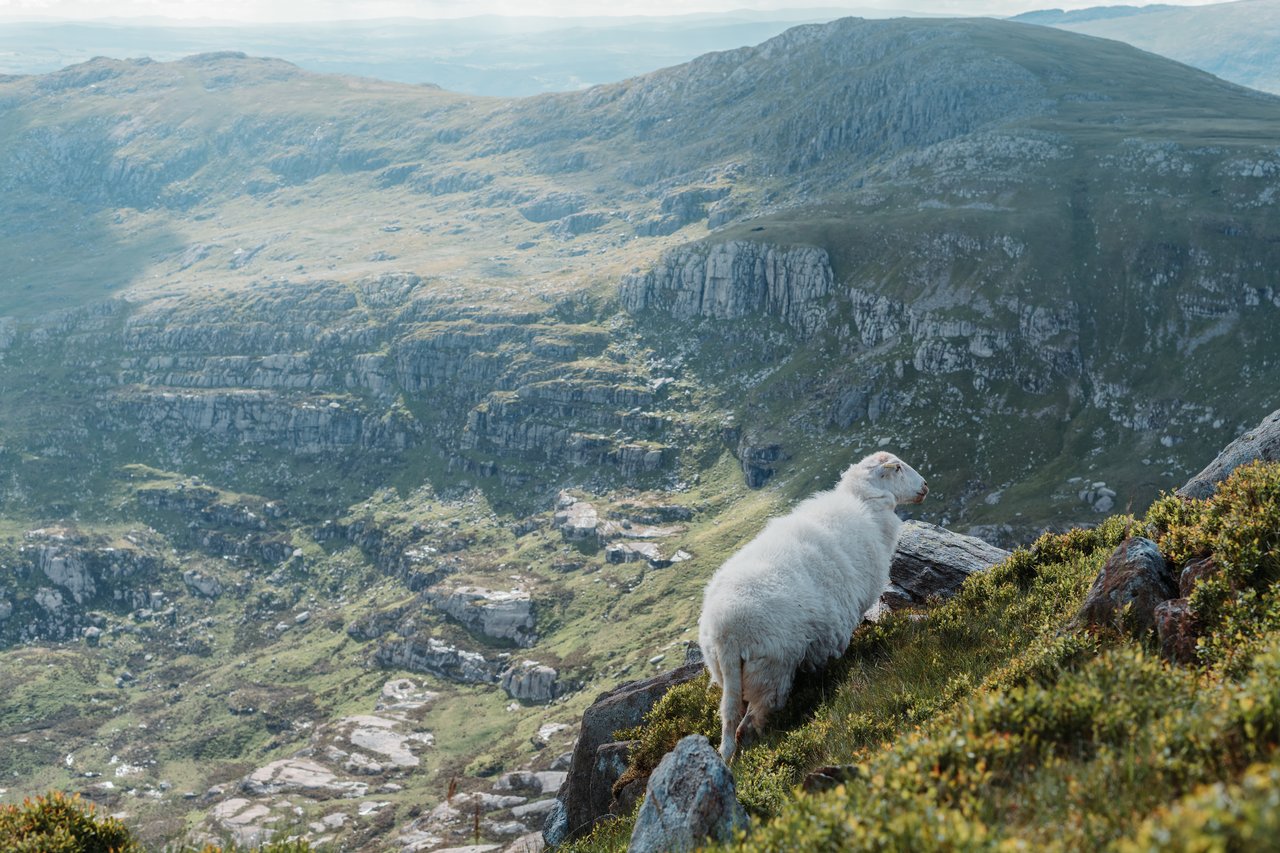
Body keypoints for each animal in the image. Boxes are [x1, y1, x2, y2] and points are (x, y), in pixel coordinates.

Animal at [698, 451, 928, 762]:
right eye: (899, 468)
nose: (925, 486)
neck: (866, 506)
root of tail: (726, 633)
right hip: (772, 670)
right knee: (750, 723)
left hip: (732, 677)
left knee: (730, 720)